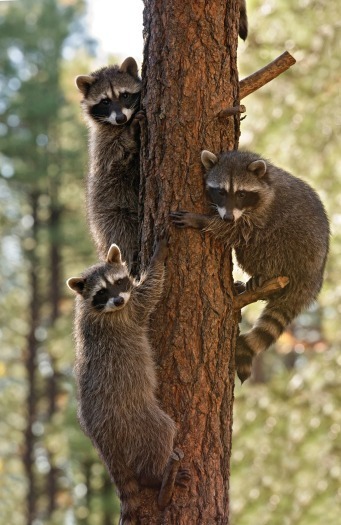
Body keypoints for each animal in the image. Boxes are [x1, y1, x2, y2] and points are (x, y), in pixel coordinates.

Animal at [66, 239, 189, 520]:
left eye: (119, 282)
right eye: (101, 292)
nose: (119, 298)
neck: (94, 308)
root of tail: (102, 436)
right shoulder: (131, 311)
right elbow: (152, 290)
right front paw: (157, 258)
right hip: (137, 421)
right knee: (162, 432)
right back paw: (155, 477)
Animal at [75, 57, 142, 270]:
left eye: (124, 95)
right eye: (105, 101)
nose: (120, 118)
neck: (120, 125)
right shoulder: (101, 143)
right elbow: (112, 160)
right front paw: (129, 136)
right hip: (109, 214)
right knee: (121, 236)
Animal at [171, 149, 328, 382]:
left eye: (242, 194)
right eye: (221, 192)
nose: (227, 217)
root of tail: (311, 283)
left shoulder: (264, 214)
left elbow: (239, 232)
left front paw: (202, 220)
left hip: (297, 251)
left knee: (262, 244)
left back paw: (264, 275)